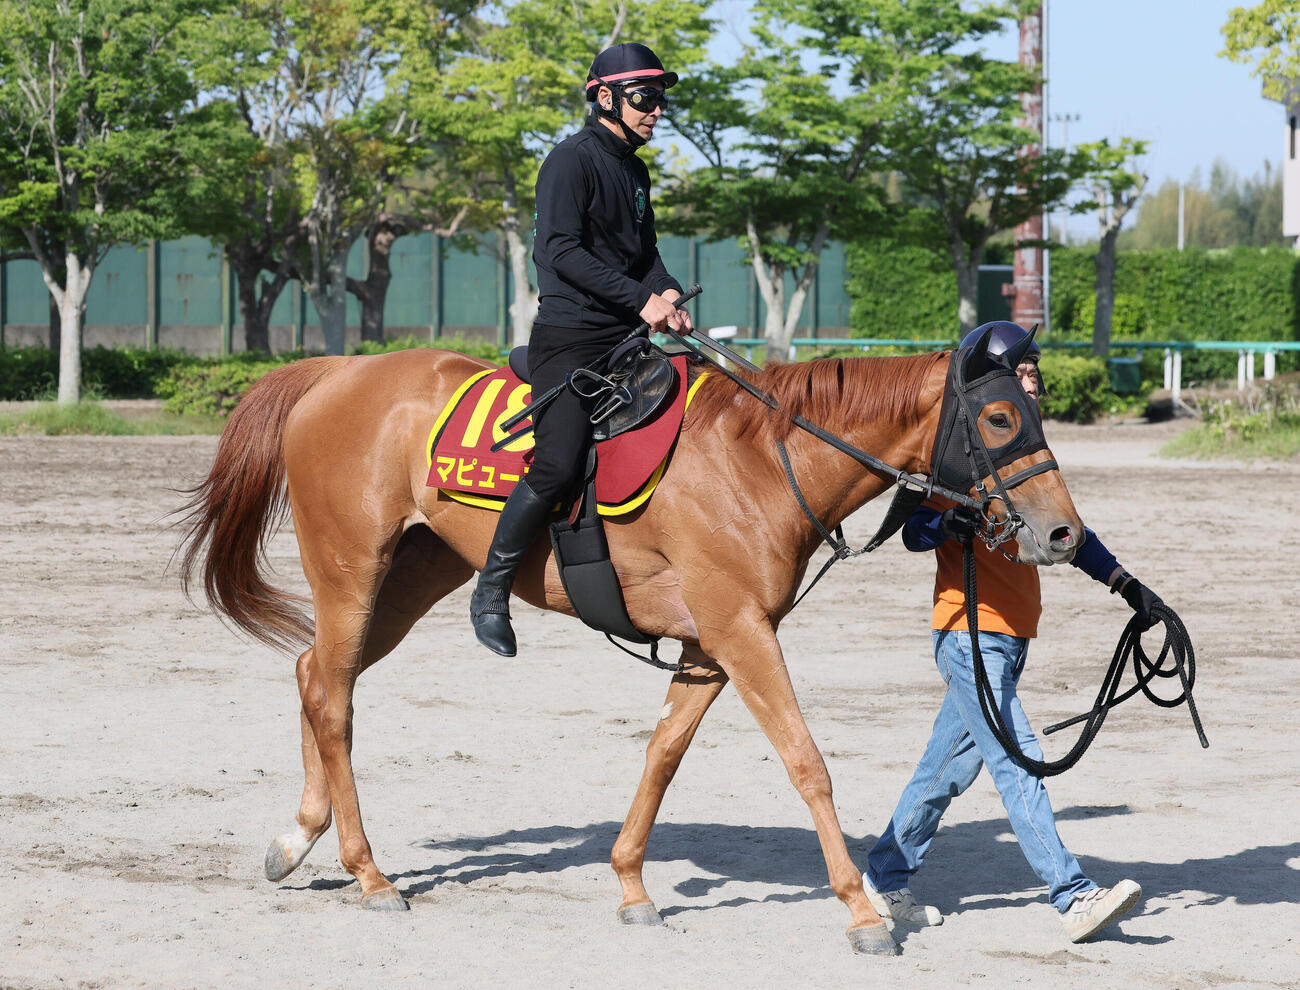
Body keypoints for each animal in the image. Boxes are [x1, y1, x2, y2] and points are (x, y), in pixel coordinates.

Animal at [175, 339, 1083, 957]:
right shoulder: (740, 631)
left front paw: (631, 884)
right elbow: (806, 762)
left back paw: (298, 838)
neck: (761, 459)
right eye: (1001, 417)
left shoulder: (710, 643)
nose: (1063, 534)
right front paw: (862, 913)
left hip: (410, 577)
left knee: (316, 677)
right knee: (332, 696)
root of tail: (336, 372)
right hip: (351, 573)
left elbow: (663, 754)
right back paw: (369, 873)